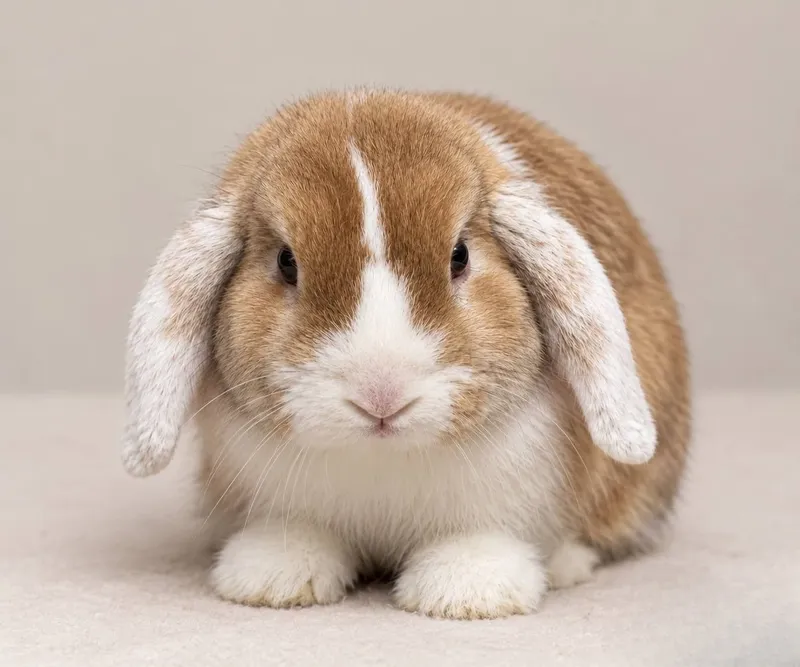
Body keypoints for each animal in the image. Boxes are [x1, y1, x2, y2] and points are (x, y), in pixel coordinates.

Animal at [122, 89, 690, 620]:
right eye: (286, 262)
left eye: (460, 255)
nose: (381, 395)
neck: (381, 457)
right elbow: (296, 534)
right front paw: (272, 581)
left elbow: (482, 541)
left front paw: (466, 594)